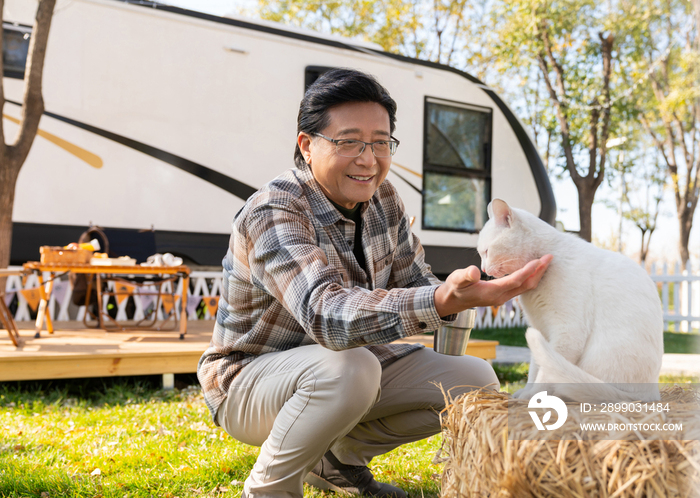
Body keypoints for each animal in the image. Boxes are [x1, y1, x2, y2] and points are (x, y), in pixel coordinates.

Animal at [478, 198, 664, 400]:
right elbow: (536, 366)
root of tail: (650, 393)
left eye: (486, 251)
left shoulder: (567, 332)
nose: (483, 269)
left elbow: (545, 373)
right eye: (480, 253)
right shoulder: (541, 330)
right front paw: (526, 393)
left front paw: (535, 395)